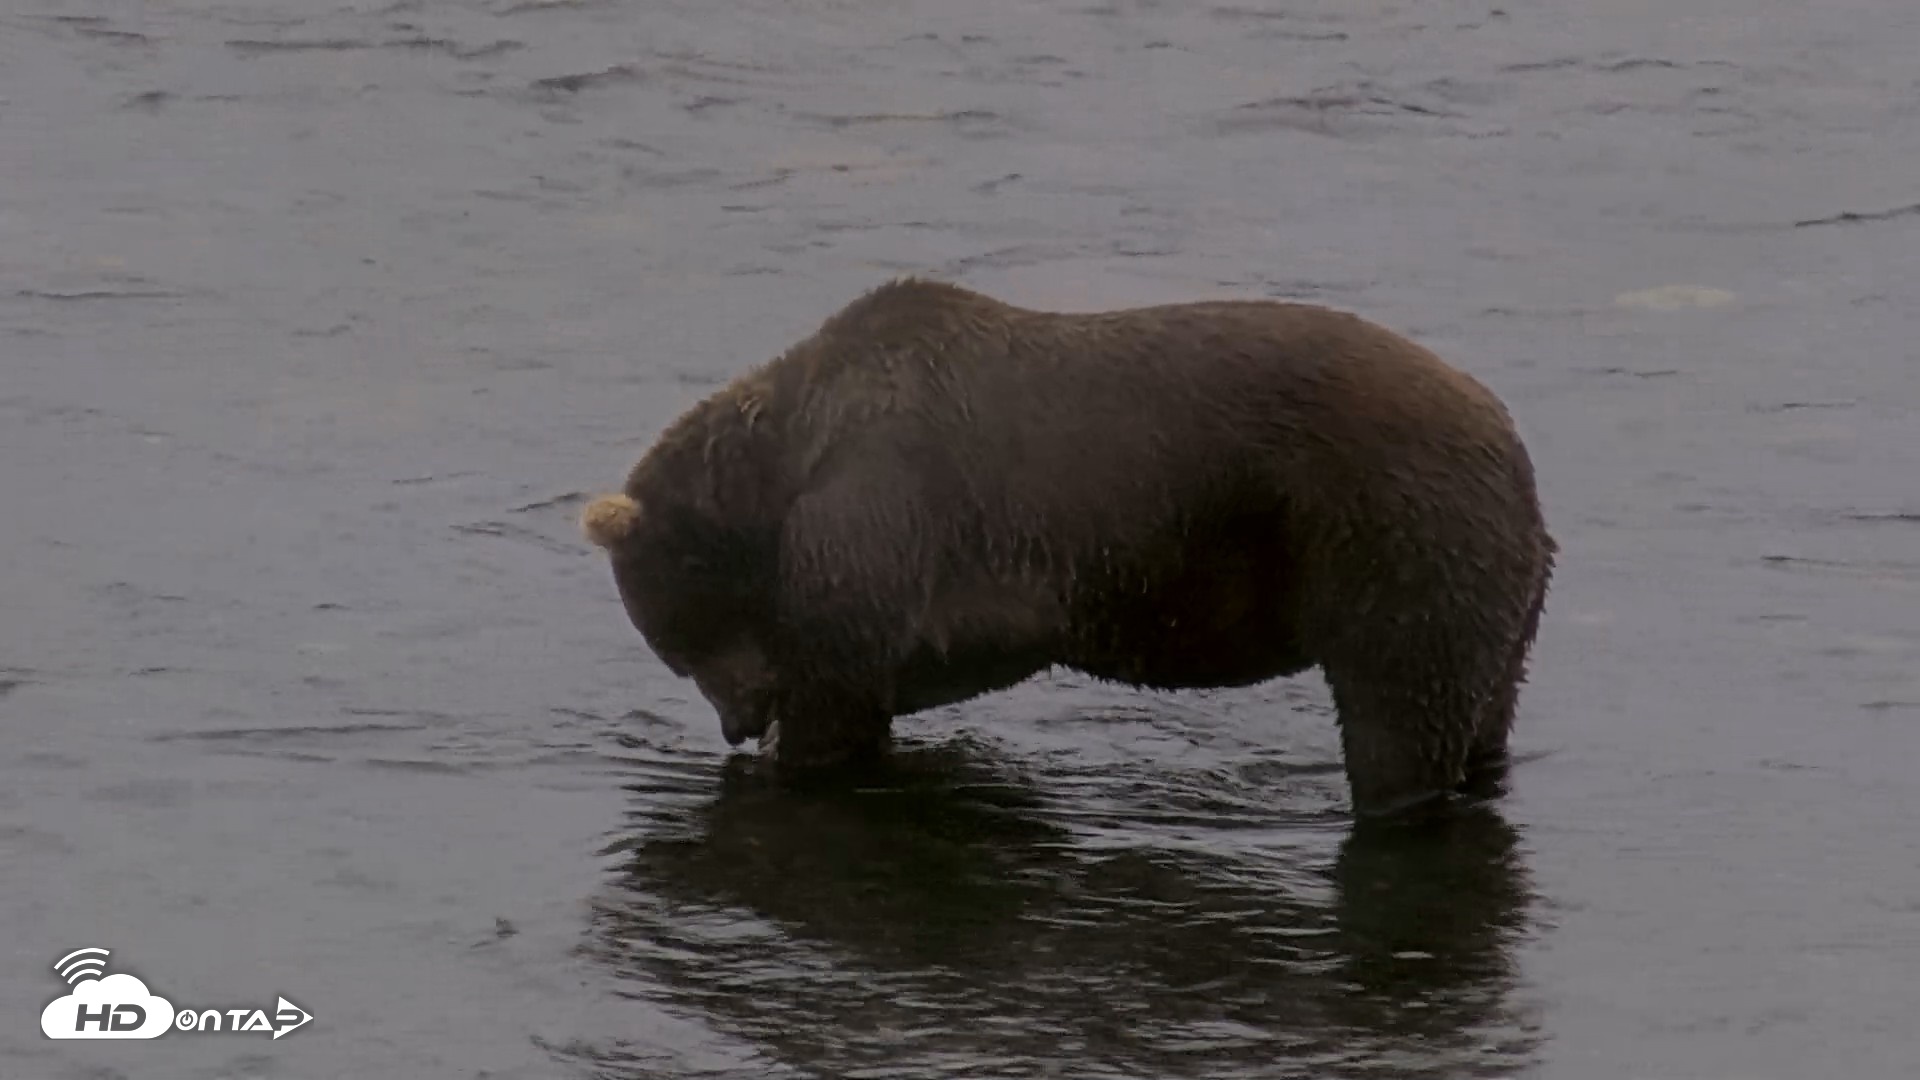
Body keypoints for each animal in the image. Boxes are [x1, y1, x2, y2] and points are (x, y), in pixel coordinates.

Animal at [581, 277, 1555, 818]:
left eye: (678, 645)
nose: (738, 726)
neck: (777, 473)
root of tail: (1514, 446)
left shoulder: (877, 509)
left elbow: (839, 682)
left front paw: (797, 757)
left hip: (1393, 535)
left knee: (1399, 711)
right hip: (1499, 591)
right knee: (1484, 710)